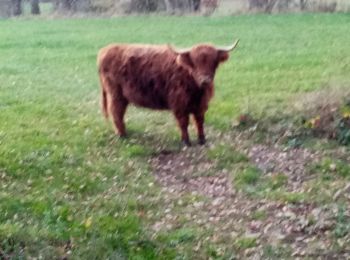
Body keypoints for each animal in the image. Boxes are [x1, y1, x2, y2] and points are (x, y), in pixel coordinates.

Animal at [97, 40, 238, 146]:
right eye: (194, 62)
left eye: (214, 62)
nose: (205, 80)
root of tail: (105, 50)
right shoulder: (179, 104)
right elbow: (184, 122)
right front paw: (186, 141)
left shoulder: (200, 104)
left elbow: (199, 120)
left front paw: (202, 139)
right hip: (116, 94)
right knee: (116, 112)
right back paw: (122, 135)